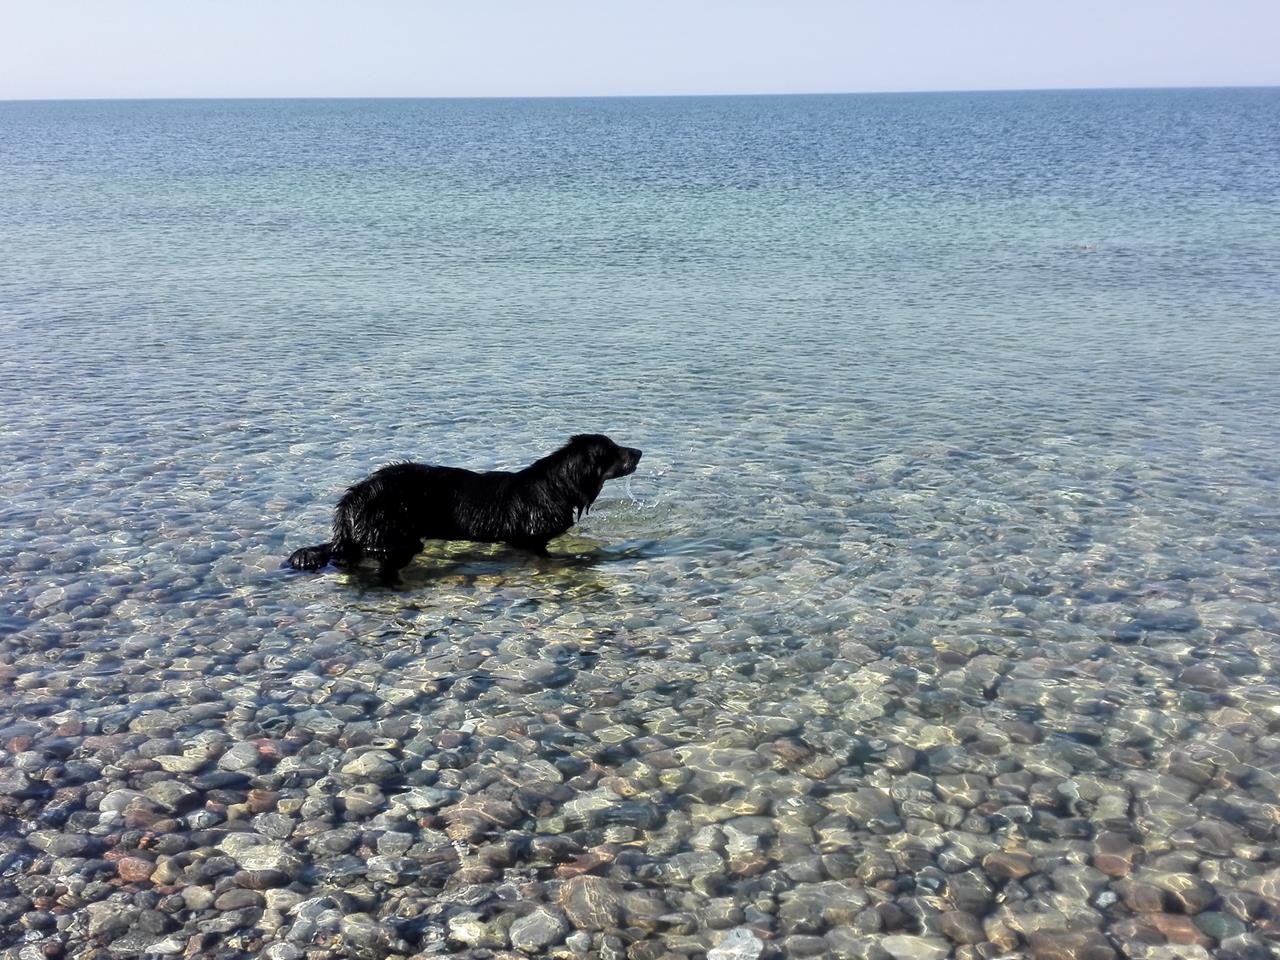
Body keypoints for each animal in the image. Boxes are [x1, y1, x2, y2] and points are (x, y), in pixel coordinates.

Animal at [282, 435, 637, 578]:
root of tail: (350, 501)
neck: (555, 487)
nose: (640, 452)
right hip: (392, 537)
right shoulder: (530, 540)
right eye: (612, 450)